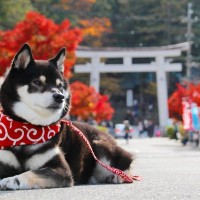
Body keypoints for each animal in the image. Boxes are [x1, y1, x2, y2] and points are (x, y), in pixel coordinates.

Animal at [0, 43, 134, 189]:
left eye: (59, 85)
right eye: (37, 82)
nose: (60, 97)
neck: (27, 129)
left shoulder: (62, 171)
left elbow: (31, 173)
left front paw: (12, 180)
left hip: (99, 145)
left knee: (126, 163)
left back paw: (118, 175)